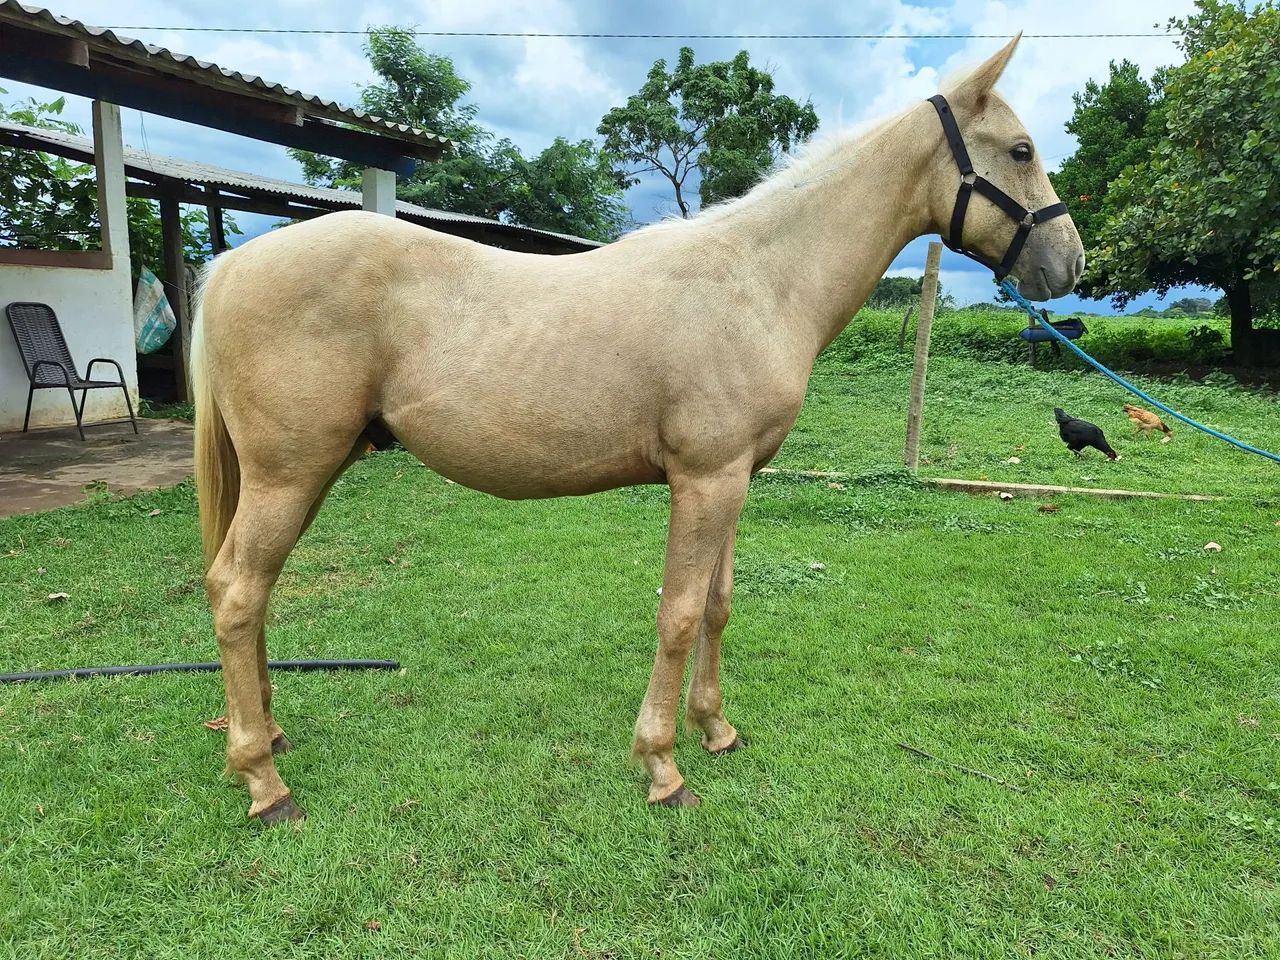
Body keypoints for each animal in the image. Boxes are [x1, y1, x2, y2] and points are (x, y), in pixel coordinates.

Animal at [192, 35, 1084, 824]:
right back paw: (263, 780)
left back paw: (268, 731)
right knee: (237, 593)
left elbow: (719, 605)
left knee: (254, 592)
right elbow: (679, 614)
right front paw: (662, 765)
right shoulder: (705, 480)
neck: (757, 281)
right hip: (289, 475)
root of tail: (233, 264)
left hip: (310, 472)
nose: (1070, 264)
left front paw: (715, 729)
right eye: (1020, 149)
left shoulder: (737, 481)